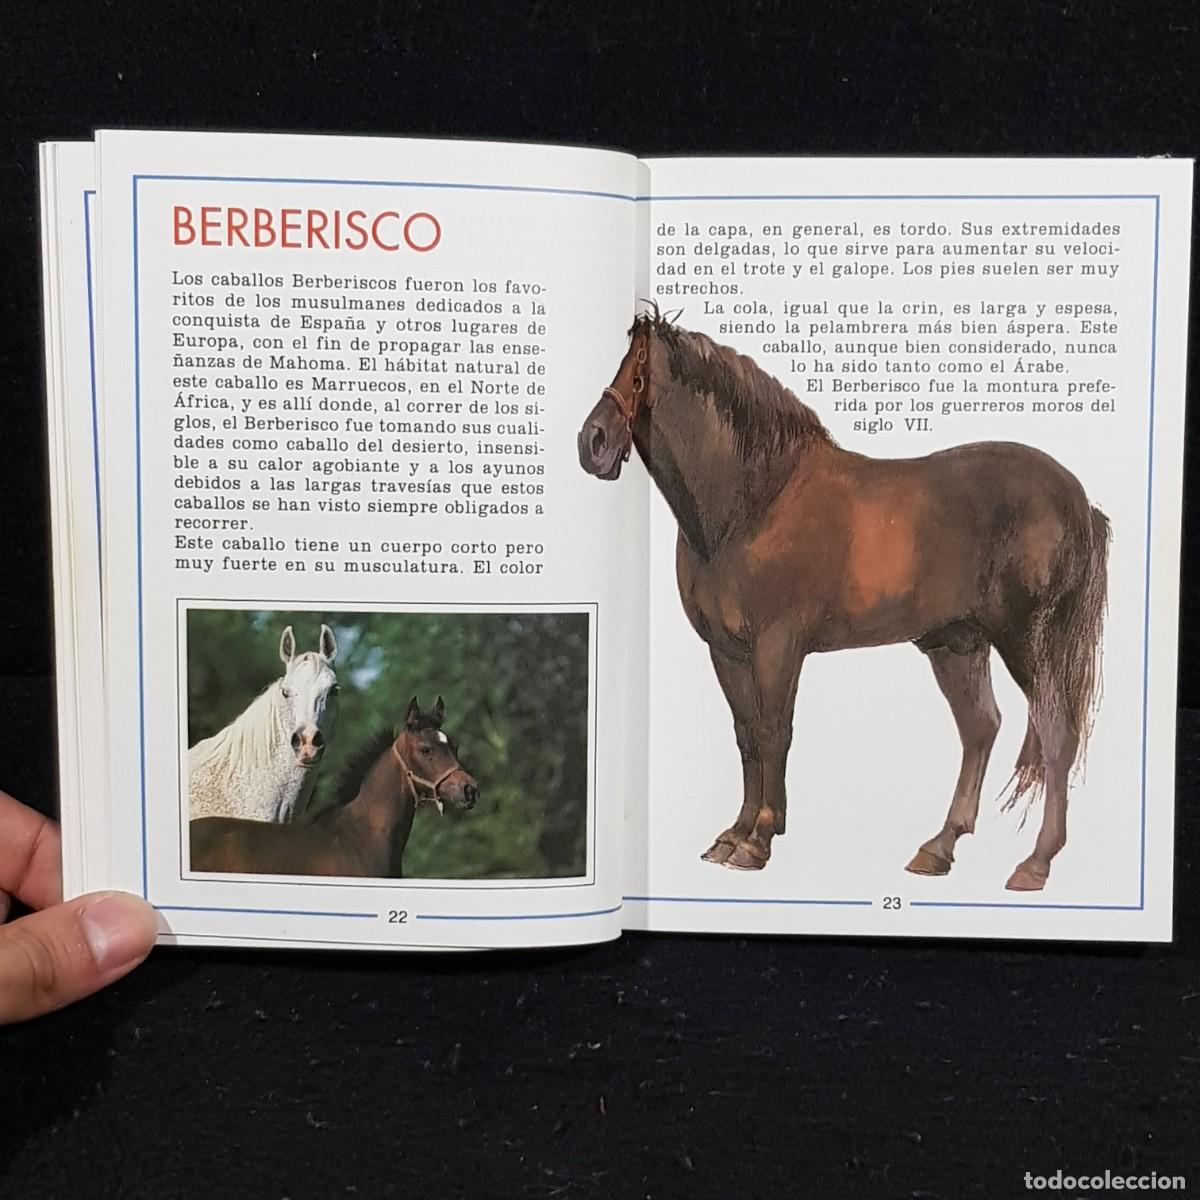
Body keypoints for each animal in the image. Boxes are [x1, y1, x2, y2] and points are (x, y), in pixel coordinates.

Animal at [577, 310, 1109, 892]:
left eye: (638, 374)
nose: (591, 441)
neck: (754, 501)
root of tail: (1078, 501)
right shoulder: (726, 651)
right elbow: (746, 735)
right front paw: (734, 835)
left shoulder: (778, 646)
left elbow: (774, 733)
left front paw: (759, 840)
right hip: (956, 645)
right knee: (980, 728)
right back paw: (938, 848)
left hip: (1028, 643)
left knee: (1056, 735)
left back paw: (1035, 864)